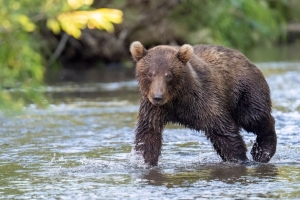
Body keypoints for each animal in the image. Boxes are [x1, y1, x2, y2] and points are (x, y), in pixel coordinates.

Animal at [129, 40, 276, 166]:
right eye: (150, 74)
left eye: (169, 75)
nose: (157, 97)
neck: (177, 98)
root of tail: (245, 58)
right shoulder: (153, 108)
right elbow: (149, 133)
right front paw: (144, 161)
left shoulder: (203, 99)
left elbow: (223, 129)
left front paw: (239, 158)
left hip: (243, 89)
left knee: (253, 116)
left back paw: (262, 151)